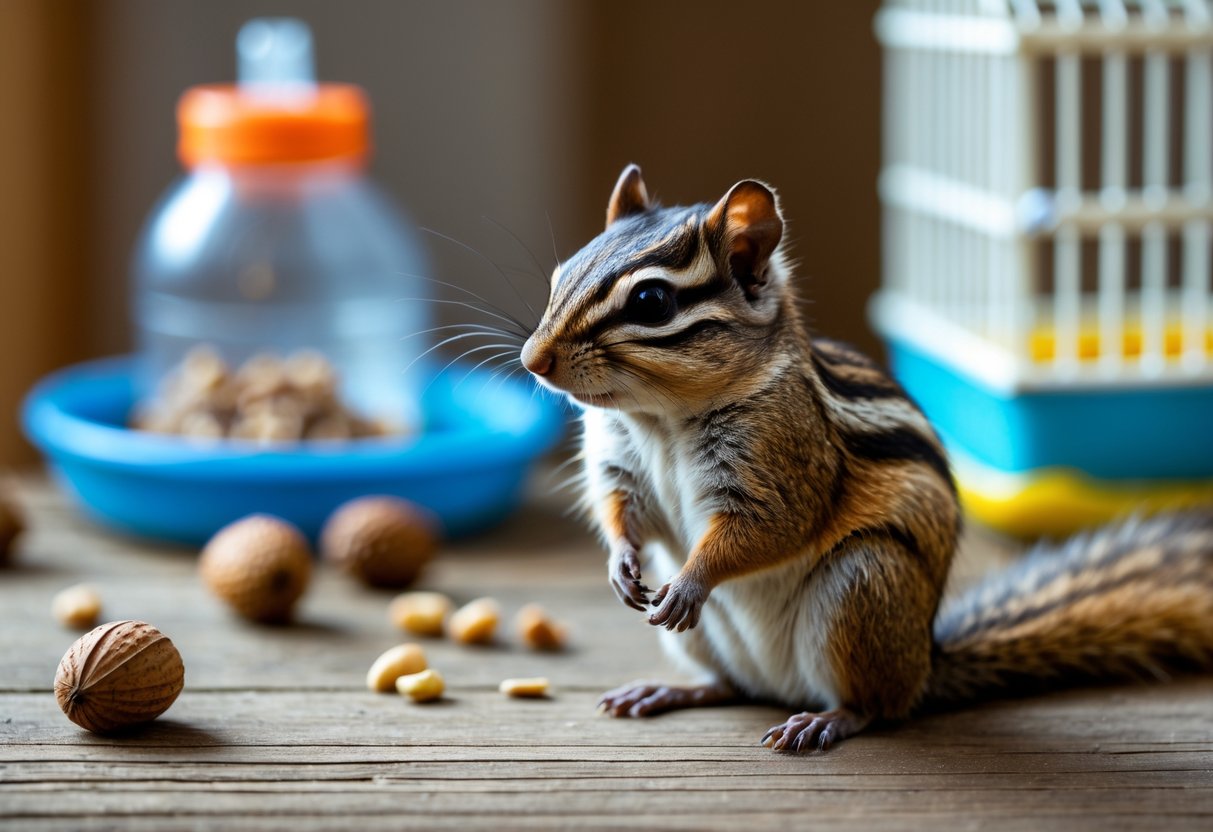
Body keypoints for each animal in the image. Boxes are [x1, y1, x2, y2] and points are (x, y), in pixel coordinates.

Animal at [520, 164, 1213, 752]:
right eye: (559, 276)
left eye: (651, 303)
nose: (533, 361)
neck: (660, 418)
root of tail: (926, 663)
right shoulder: (617, 462)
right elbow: (620, 511)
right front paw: (620, 566)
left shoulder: (782, 464)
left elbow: (764, 530)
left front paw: (690, 584)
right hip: (723, 644)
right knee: (731, 687)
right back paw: (667, 690)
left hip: (862, 586)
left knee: (877, 706)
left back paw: (823, 720)